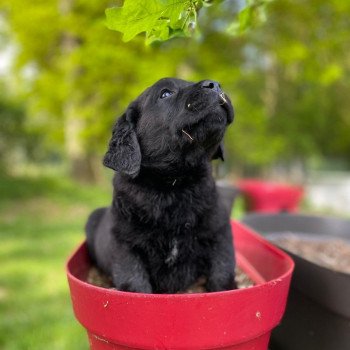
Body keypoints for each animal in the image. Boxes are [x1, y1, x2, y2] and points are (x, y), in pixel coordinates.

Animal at [86, 78, 237, 294]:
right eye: (165, 94)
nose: (214, 84)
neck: (173, 185)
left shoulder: (219, 232)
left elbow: (222, 273)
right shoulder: (125, 246)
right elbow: (135, 283)